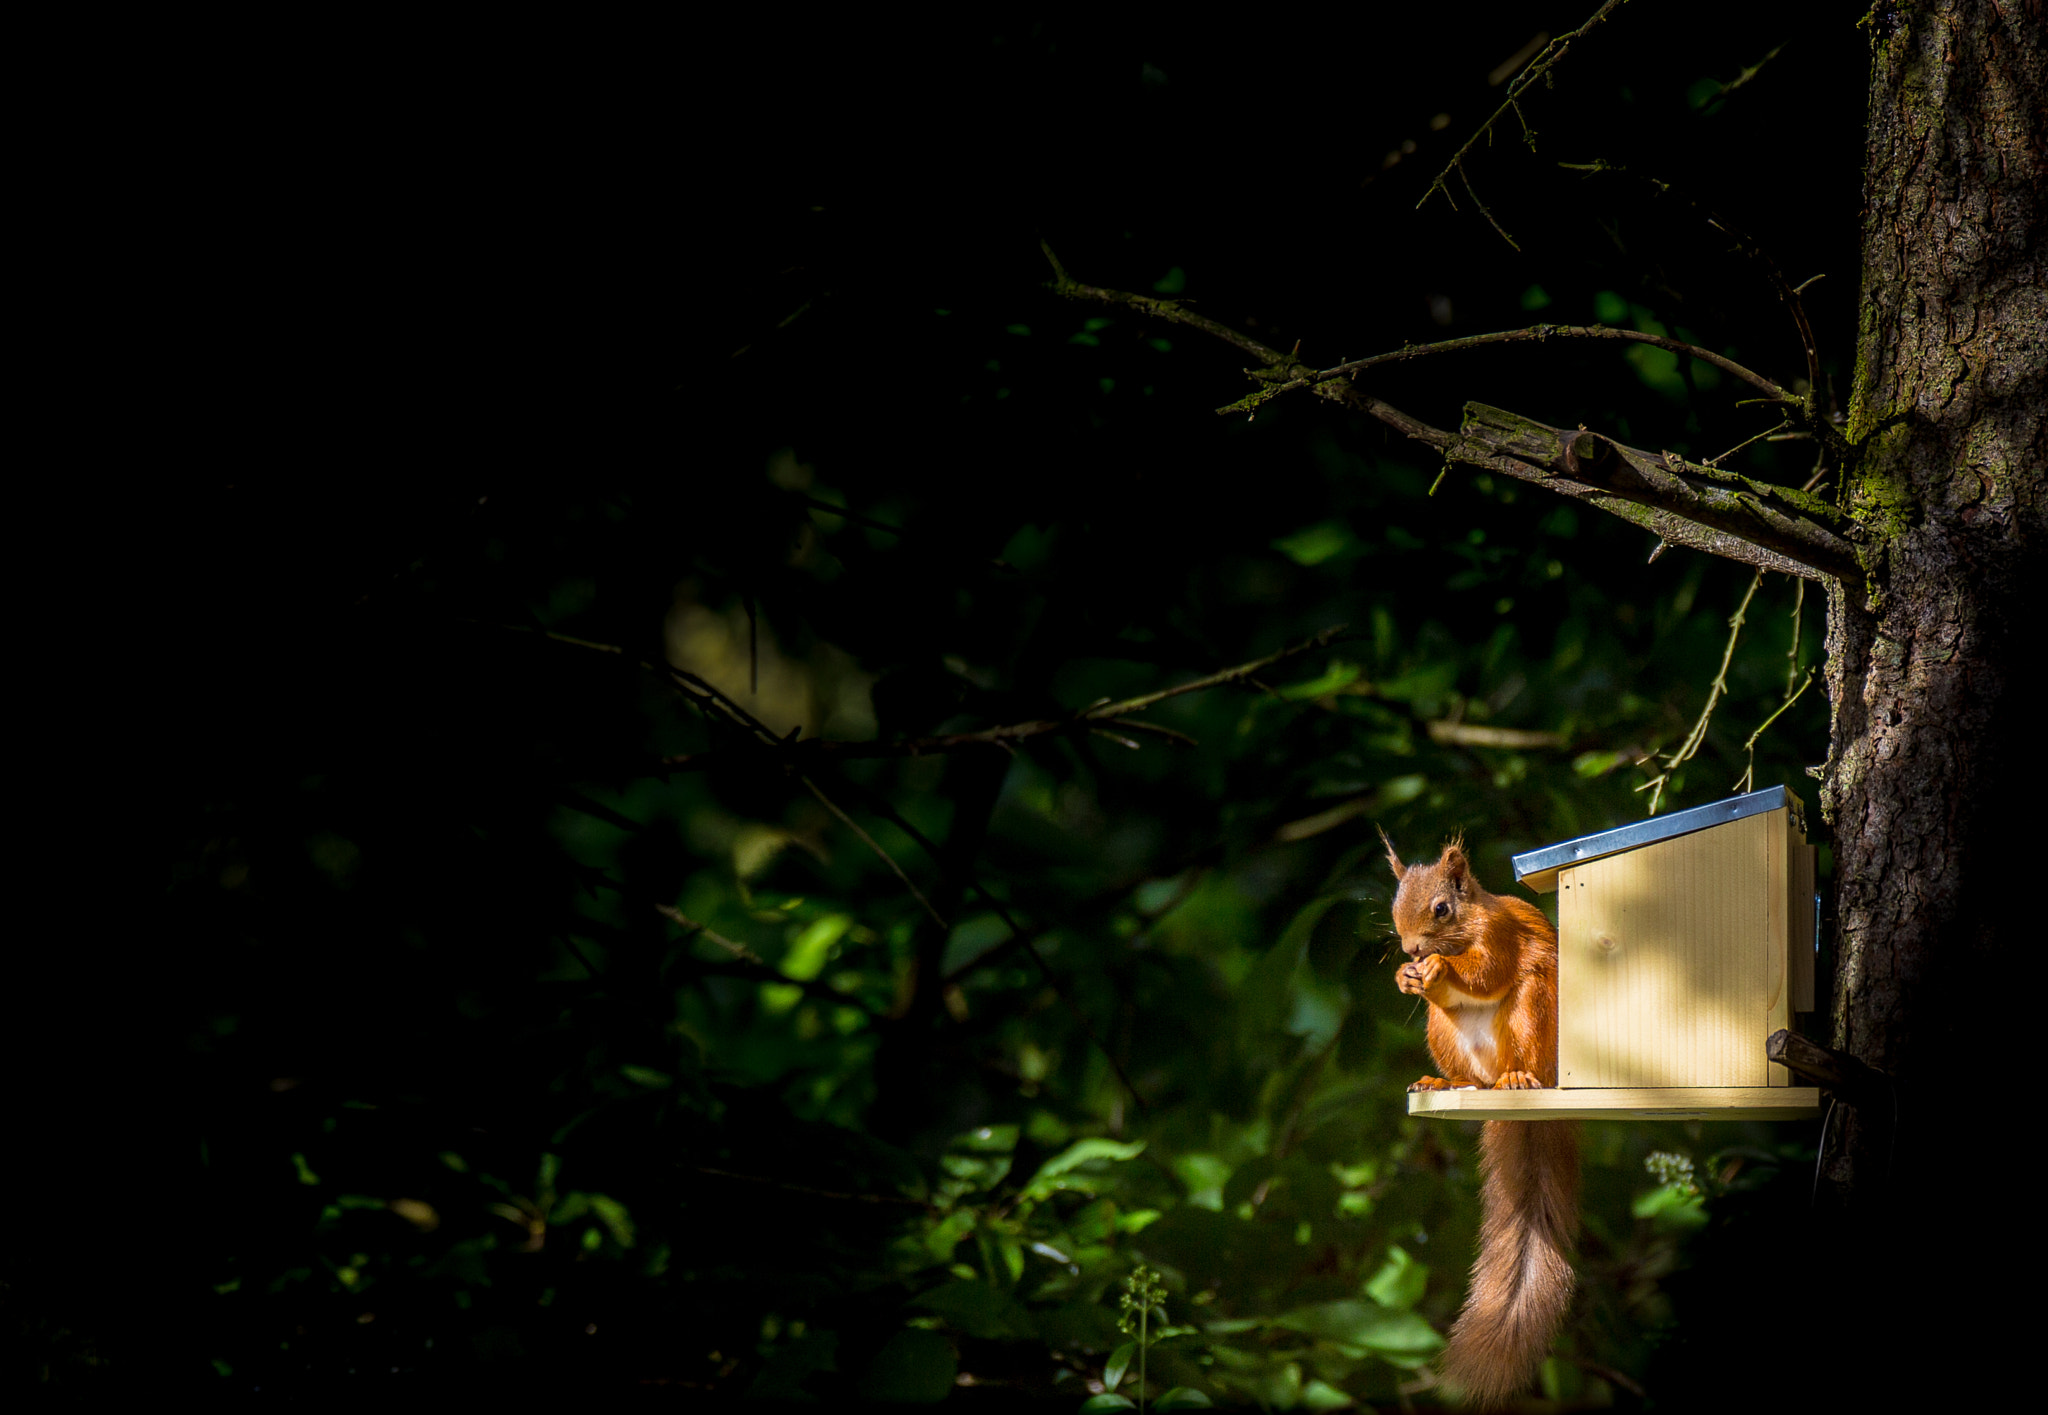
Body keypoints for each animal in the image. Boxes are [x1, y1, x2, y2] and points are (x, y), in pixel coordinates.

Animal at [1384, 835, 1572, 1408]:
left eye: (1442, 908)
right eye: (1393, 907)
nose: (1412, 951)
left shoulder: (1501, 937)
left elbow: (1486, 971)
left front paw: (1441, 970)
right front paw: (1405, 978)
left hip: (1536, 1006)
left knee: (1520, 1047)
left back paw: (1517, 1077)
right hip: (1441, 1032)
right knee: (1469, 1074)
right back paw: (1442, 1084)